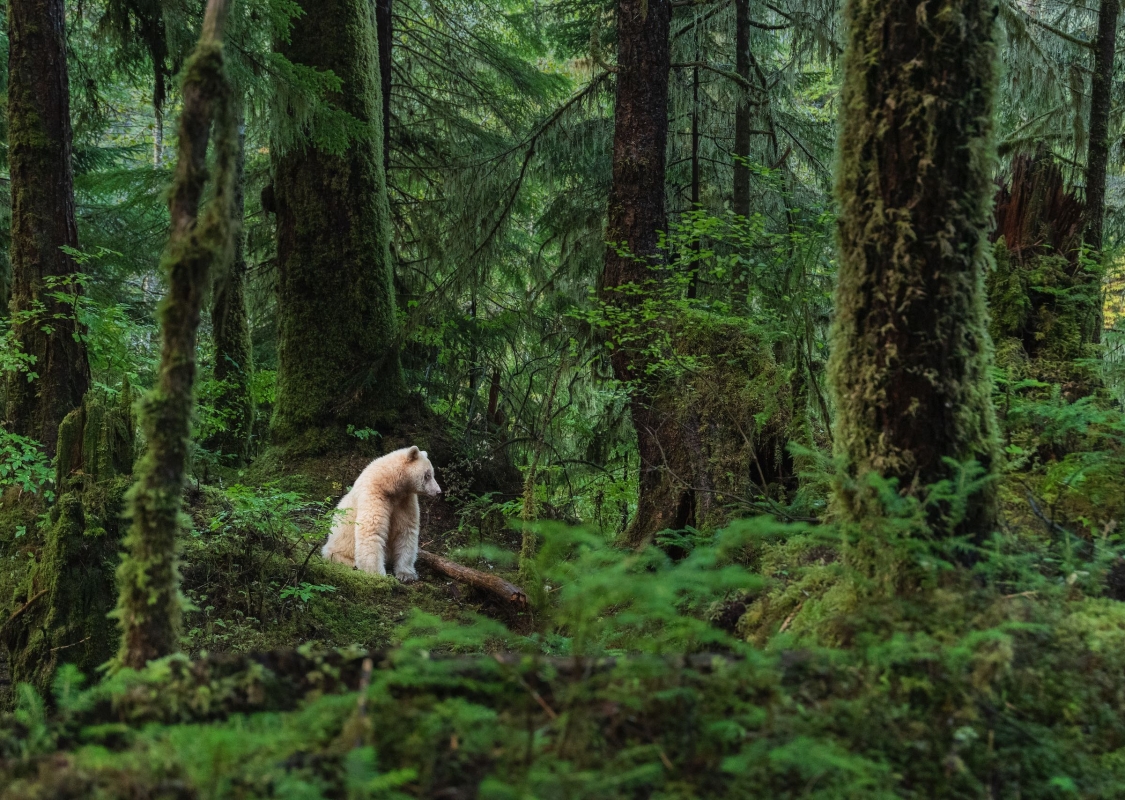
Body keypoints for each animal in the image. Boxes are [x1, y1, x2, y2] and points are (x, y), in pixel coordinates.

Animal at [321, 446, 442, 581]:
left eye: (432, 474)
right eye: (427, 475)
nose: (438, 491)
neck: (388, 483)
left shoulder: (404, 501)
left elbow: (406, 530)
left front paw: (406, 574)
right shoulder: (373, 494)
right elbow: (372, 530)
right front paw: (378, 575)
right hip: (339, 547)